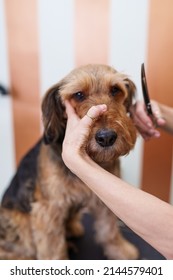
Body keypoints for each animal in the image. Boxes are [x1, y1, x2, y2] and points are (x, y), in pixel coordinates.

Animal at [0, 64, 138, 260]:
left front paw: (120, 251)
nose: (106, 137)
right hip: (20, 223)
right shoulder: (48, 211)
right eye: (78, 94)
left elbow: (109, 230)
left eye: (115, 90)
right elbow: (52, 250)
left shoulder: (104, 200)